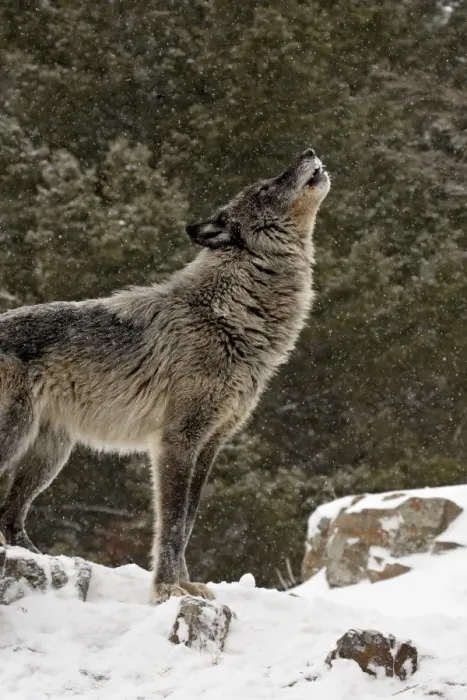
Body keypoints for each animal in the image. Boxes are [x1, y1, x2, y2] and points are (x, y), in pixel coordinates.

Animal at [0, 148, 330, 601]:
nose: (309, 152)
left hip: (50, 454)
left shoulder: (211, 444)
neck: (227, 315)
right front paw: (168, 590)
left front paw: (187, 584)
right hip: (17, 438)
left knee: (9, 518)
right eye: (267, 187)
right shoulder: (176, 441)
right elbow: (171, 525)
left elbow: (188, 523)